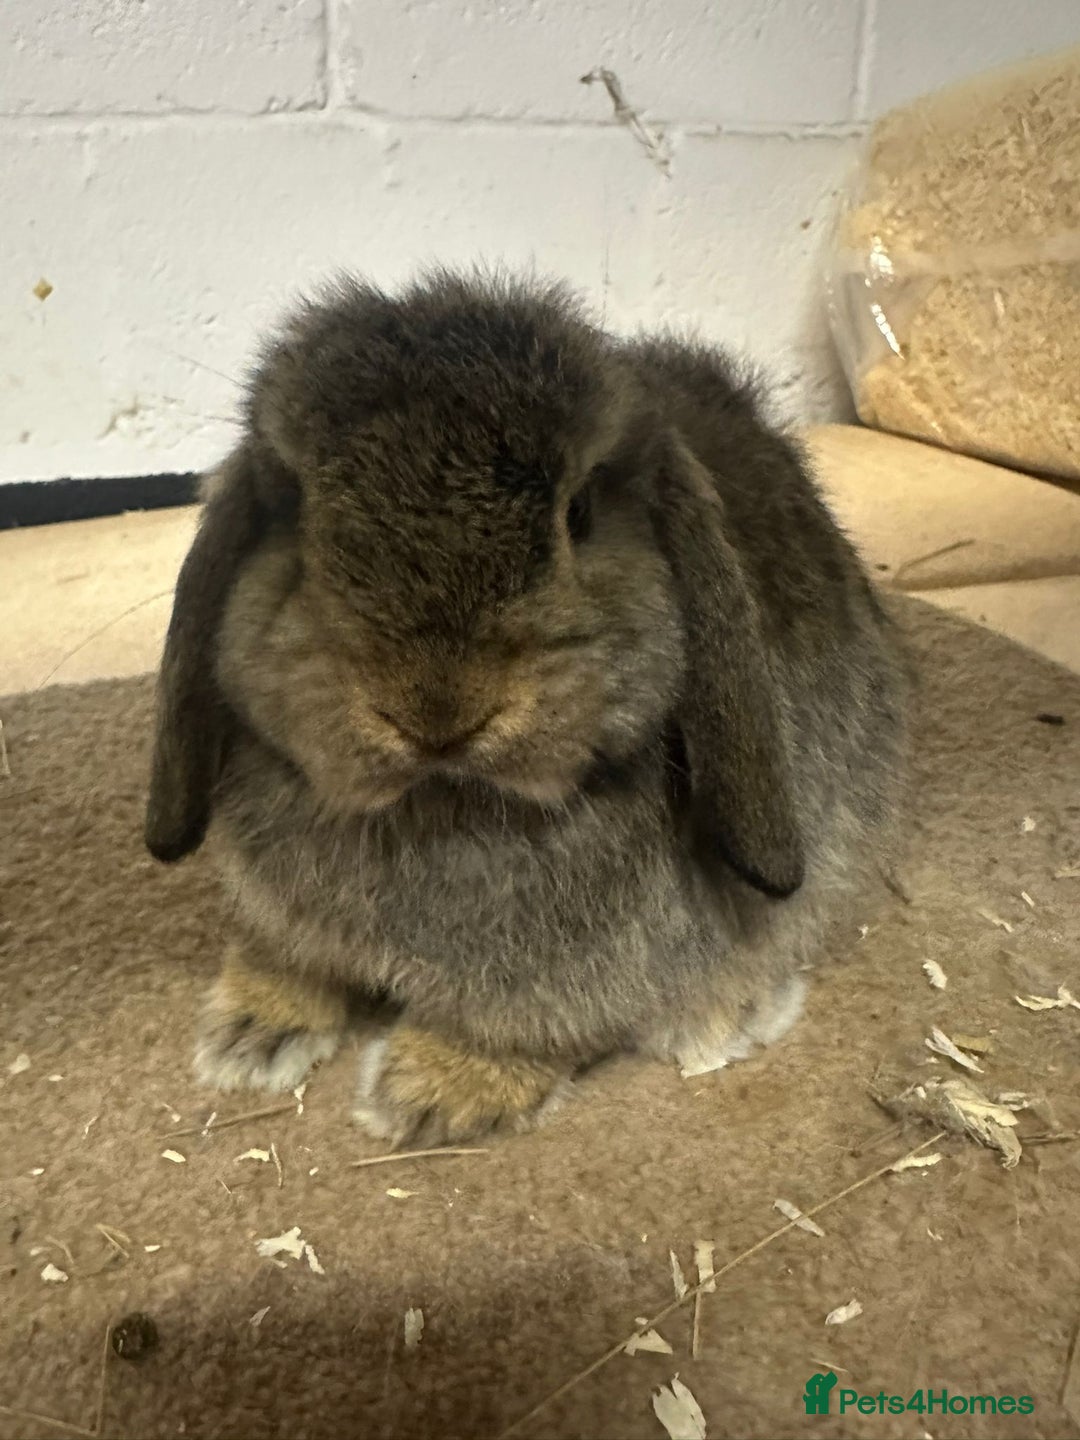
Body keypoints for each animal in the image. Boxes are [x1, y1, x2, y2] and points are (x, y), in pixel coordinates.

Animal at [145, 267, 910, 1146]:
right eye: (297, 517)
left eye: (578, 515)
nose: (437, 710)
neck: (441, 801)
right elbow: (290, 963)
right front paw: (250, 1032)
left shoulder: (578, 973)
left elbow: (526, 1026)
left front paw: (431, 1094)